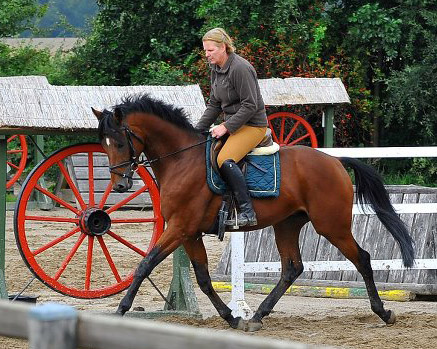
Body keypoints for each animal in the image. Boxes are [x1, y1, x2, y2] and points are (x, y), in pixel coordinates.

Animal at [92, 93, 412, 332]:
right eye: (104, 146)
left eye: (119, 142)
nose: (120, 185)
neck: (181, 161)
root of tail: (335, 162)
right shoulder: (190, 233)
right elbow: (203, 279)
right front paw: (232, 317)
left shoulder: (180, 228)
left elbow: (145, 265)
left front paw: (121, 310)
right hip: (287, 224)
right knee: (292, 268)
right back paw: (258, 315)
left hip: (331, 225)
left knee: (363, 258)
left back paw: (383, 313)